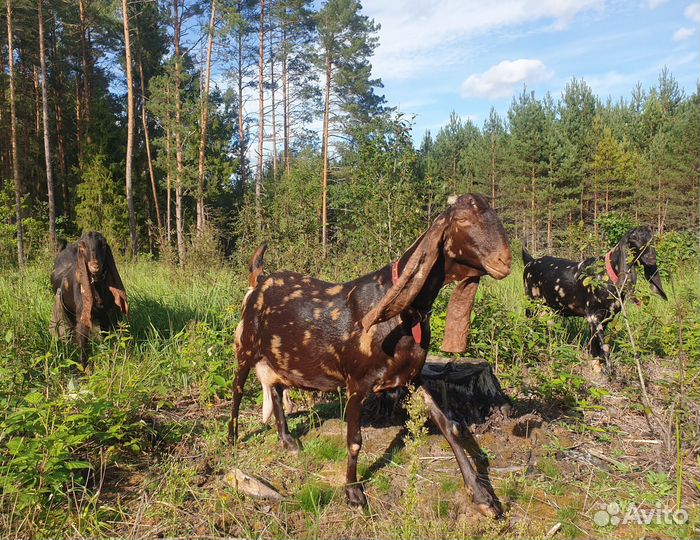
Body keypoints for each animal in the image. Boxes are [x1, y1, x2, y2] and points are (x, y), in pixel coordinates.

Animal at [50, 232, 129, 366]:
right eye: (82, 247)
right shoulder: (82, 315)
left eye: (103, 244)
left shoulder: (107, 313)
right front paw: (85, 367)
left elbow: (107, 336)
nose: (95, 266)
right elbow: (83, 341)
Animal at [229, 194, 512, 516]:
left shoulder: (412, 377)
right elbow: (354, 440)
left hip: (278, 357)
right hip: (246, 347)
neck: (403, 315)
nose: (504, 262)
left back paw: (288, 441)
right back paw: (233, 437)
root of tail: (258, 279)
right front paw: (353, 492)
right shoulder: (357, 382)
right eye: (462, 219)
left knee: (275, 390)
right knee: (238, 390)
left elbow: (448, 426)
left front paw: (483, 497)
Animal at [522, 226, 666, 373]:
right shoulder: (593, 316)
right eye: (633, 238)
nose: (651, 259)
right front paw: (608, 371)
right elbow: (605, 347)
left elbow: (595, 344)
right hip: (531, 305)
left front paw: (596, 365)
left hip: (547, 310)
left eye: (652, 238)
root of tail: (530, 262)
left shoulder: (606, 318)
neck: (606, 275)